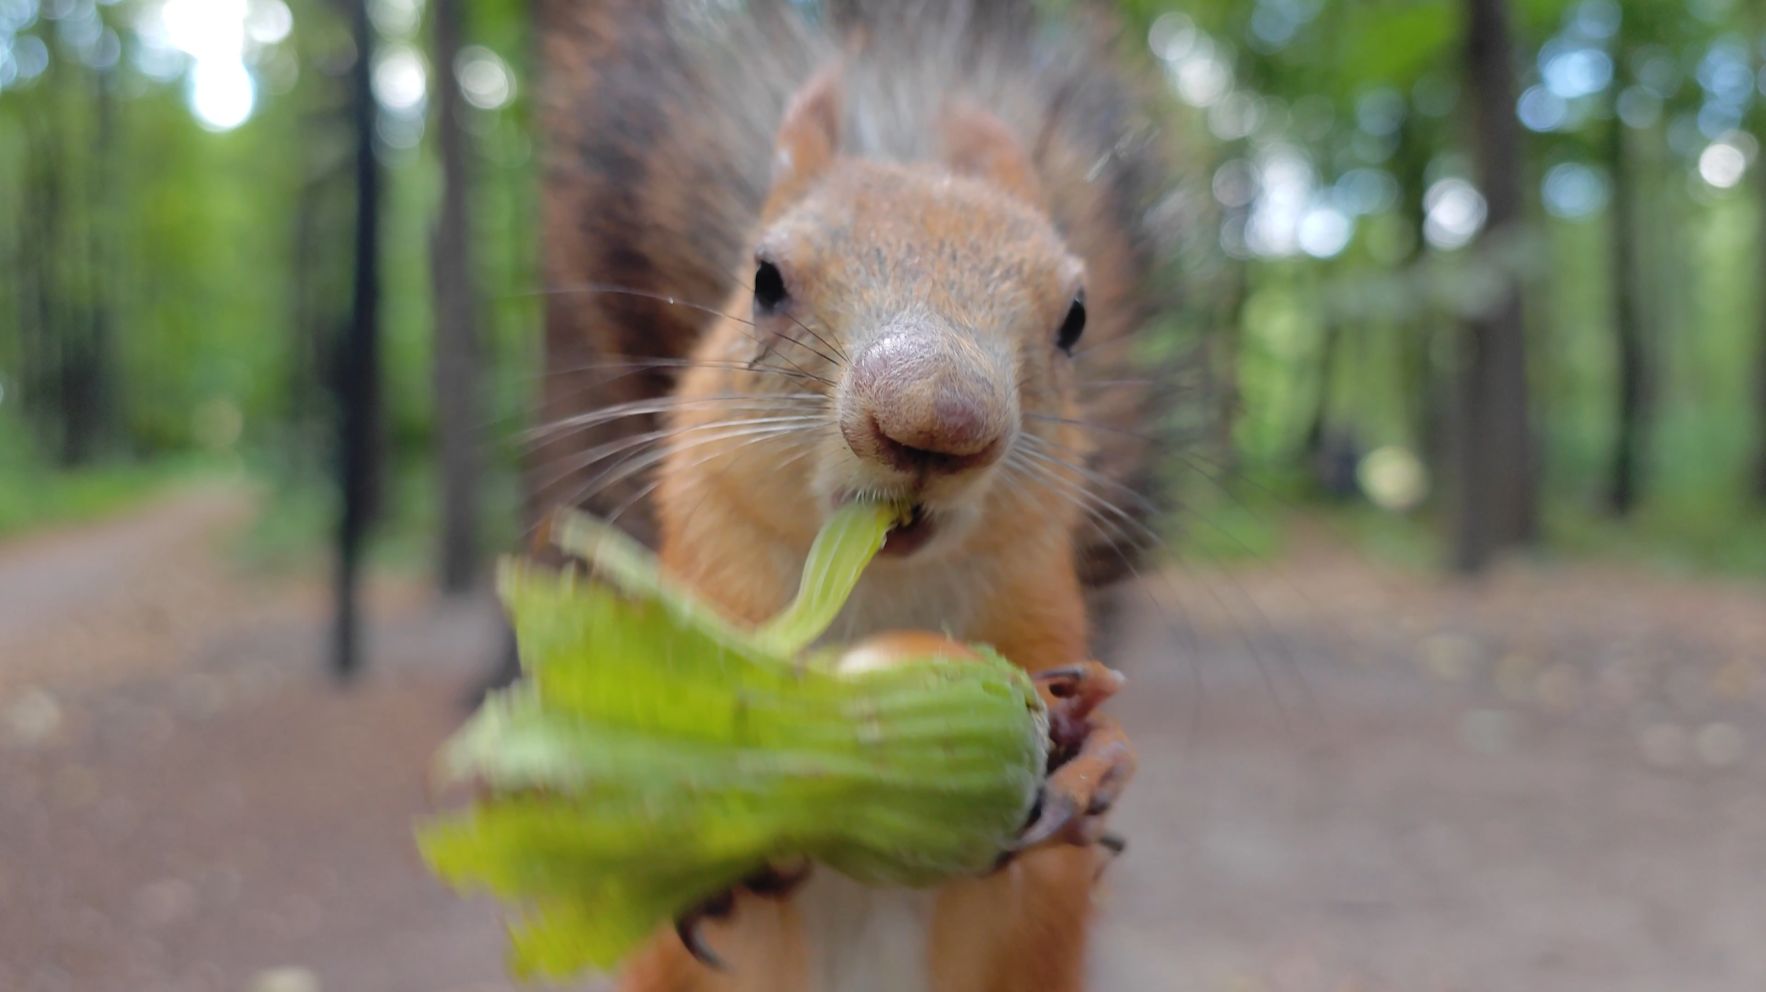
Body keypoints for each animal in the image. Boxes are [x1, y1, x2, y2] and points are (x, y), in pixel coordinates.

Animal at [526, 1, 1182, 990]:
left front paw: (1093, 761)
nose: (938, 420)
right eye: (763, 280)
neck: (877, 590)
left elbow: (1025, 897)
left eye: (1075, 317)